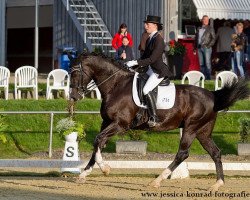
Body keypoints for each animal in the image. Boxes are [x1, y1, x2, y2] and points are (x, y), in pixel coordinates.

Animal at [69, 52, 250, 191]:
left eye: (75, 73)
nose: (73, 96)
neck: (116, 86)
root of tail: (212, 95)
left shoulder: (120, 124)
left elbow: (98, 140)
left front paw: (105, 169)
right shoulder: (106, 123)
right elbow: (98, 144)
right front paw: (84, 174)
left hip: (191, 128)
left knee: (182, 154)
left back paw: (156, 181)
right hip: (203, 132)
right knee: (215, 153)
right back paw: (217, 184)